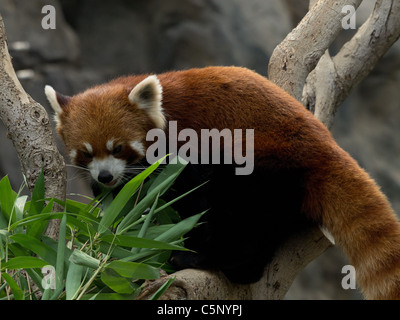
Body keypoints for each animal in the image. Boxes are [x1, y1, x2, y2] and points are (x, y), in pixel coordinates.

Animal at [45, 65, 400, 300]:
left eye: (118, 148)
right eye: (86, 153)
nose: (104, 176)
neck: (162, 108)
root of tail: (325, 148)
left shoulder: (185, 146)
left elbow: (180, 191)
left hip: (261, 167)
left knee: (238, 223)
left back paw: (200, 259)